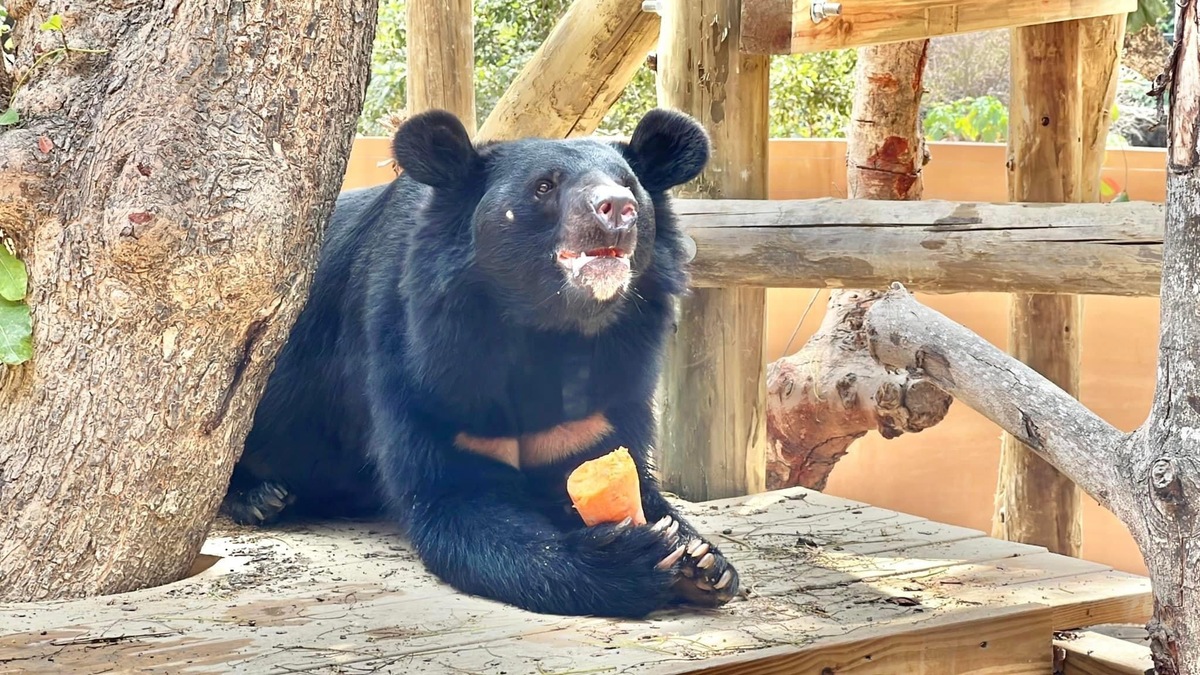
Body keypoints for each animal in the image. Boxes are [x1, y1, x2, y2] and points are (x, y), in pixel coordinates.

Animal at [220, 107, 740, 619]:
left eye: (629, 184)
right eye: (544, 186)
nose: (617, 208)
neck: (548, 330)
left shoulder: (612, 378)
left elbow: (605, 461)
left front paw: (702, 561)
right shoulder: (420, 360)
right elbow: (453, 494)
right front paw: (630, 556)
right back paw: (260, 497)